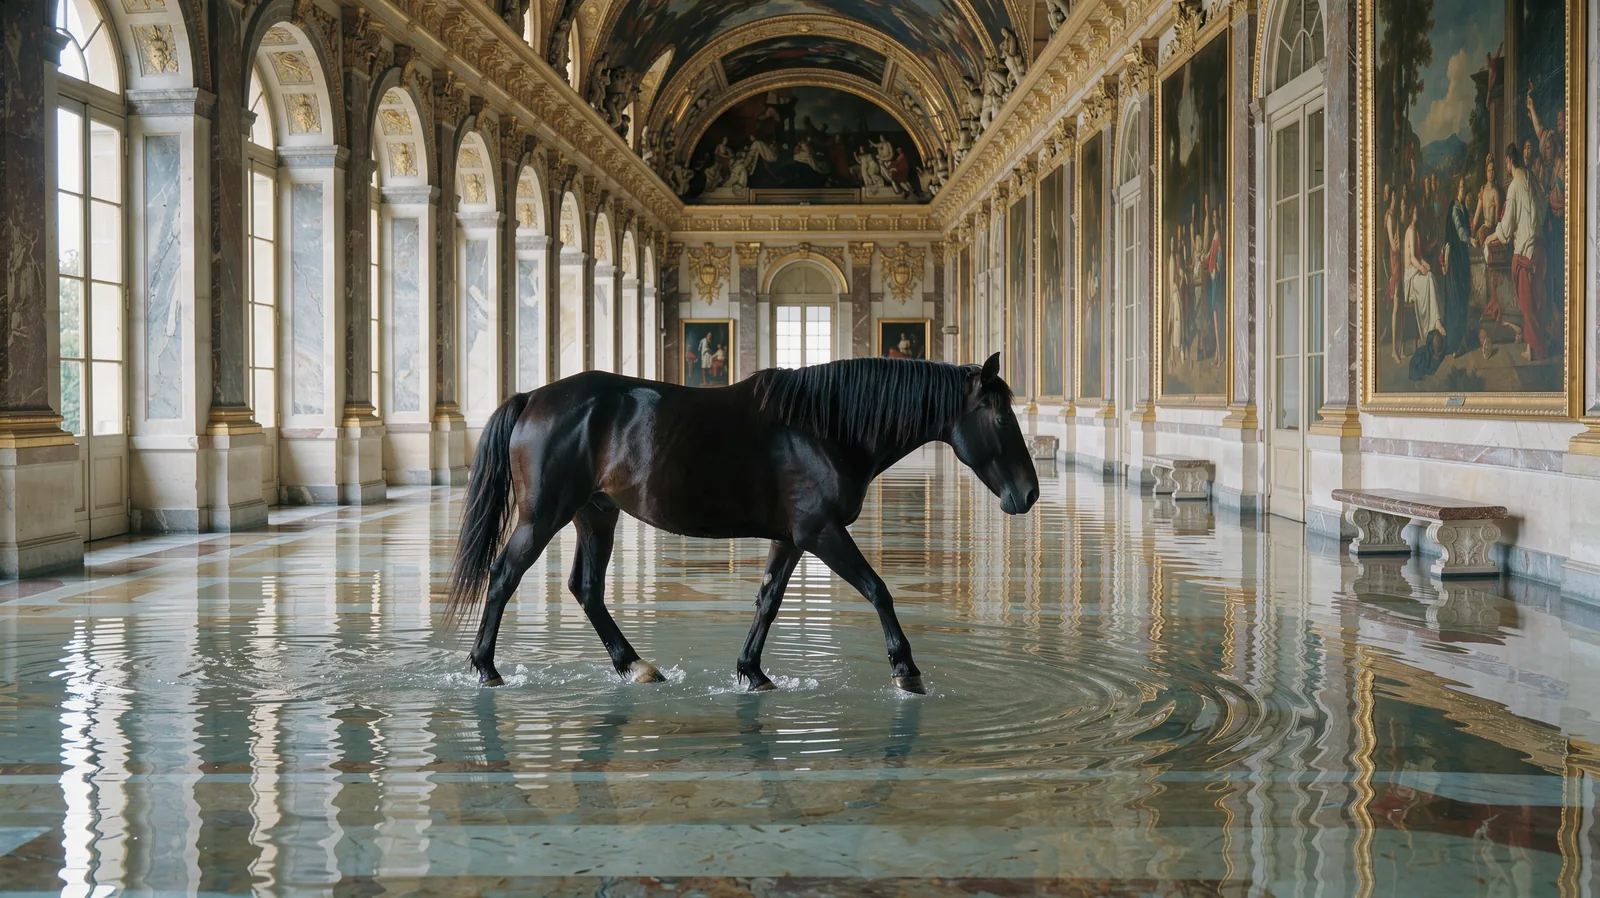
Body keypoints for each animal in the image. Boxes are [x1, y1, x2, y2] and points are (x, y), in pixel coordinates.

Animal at [445, 353, 1039, 694]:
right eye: (999, 415)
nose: (1029, 493)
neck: (823, 428)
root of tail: (533, 398)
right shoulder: (821, 532)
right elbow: (878, 589)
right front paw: (905, 668)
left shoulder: (792, 538)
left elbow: (768, 599)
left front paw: (752, 671)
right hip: (543, 515)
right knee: (504, 577)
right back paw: (485, 668)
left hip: (596, 514)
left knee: (586, 588)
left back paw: (634, 665)